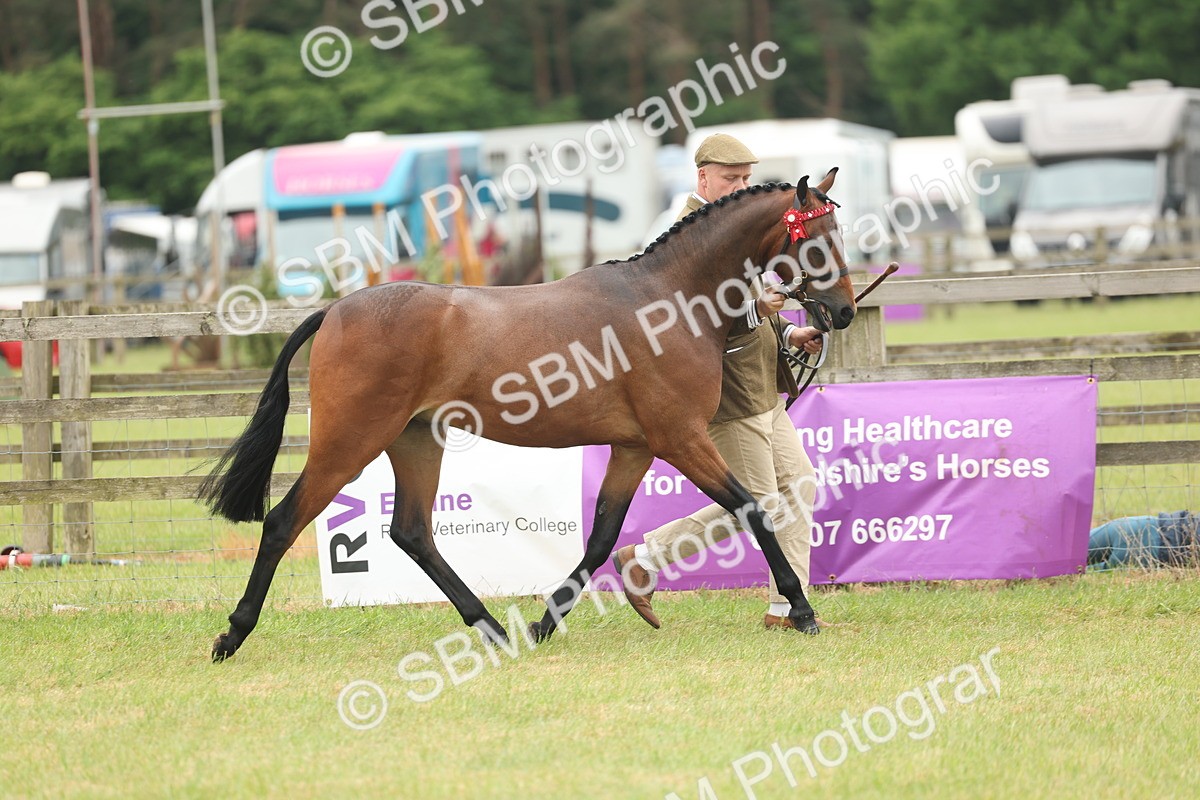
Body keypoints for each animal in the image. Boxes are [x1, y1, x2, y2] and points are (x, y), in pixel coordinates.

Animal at [201, 168, 856, 662]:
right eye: (816, 239)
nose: (844, 311)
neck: (668, 300)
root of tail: (336, 310)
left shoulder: (636, 447)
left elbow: (602, 539)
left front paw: (544, 623)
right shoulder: (682, 439)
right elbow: (753, 507)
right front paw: (802, 610)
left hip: (416, 440)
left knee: (412, 531)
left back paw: (493, 629)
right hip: (350, 441)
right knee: (282, 522)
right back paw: (231, 635)